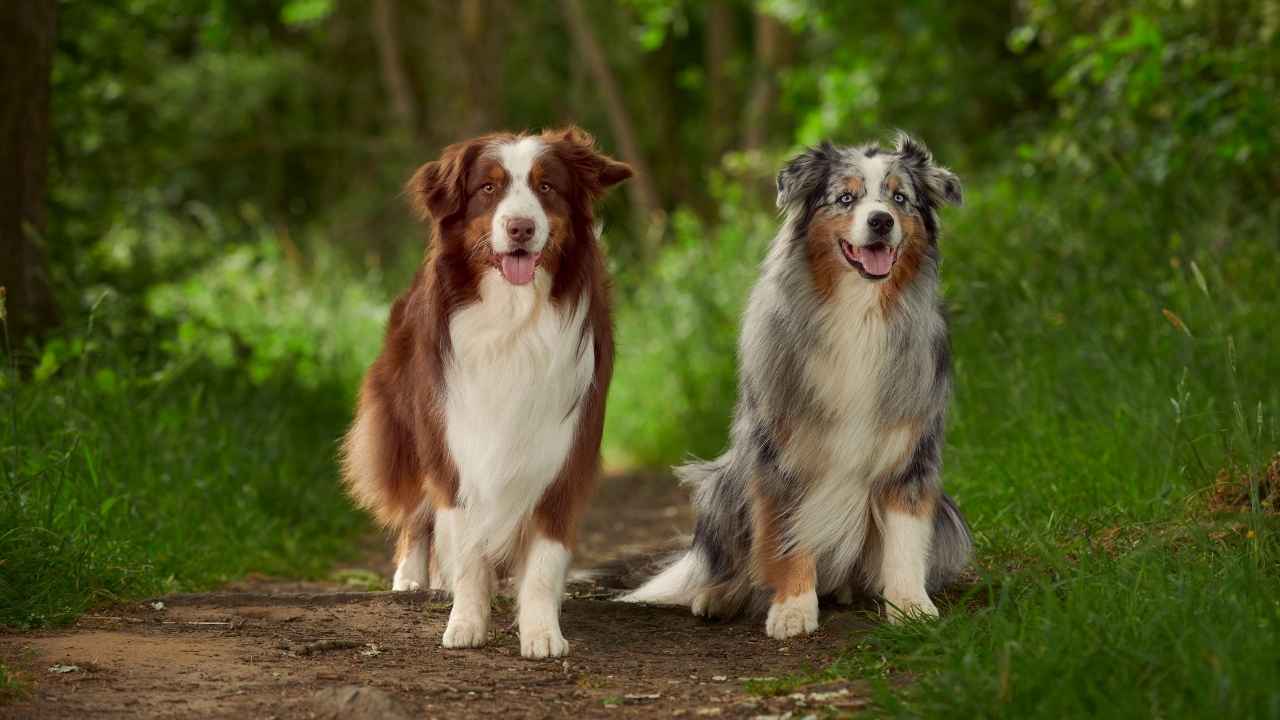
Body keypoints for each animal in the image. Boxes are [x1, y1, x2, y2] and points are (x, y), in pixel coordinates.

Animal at [343, 127, 632, 655]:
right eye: (488, 188)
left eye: (547, 187)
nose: (520, 228)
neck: (512, 320)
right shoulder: (456, 441)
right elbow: (468, 547)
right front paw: (466, 623)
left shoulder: (563, 451)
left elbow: (543, 559)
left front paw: (542, 632)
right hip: (409, 428)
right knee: (418, 513)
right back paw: (412, 577)